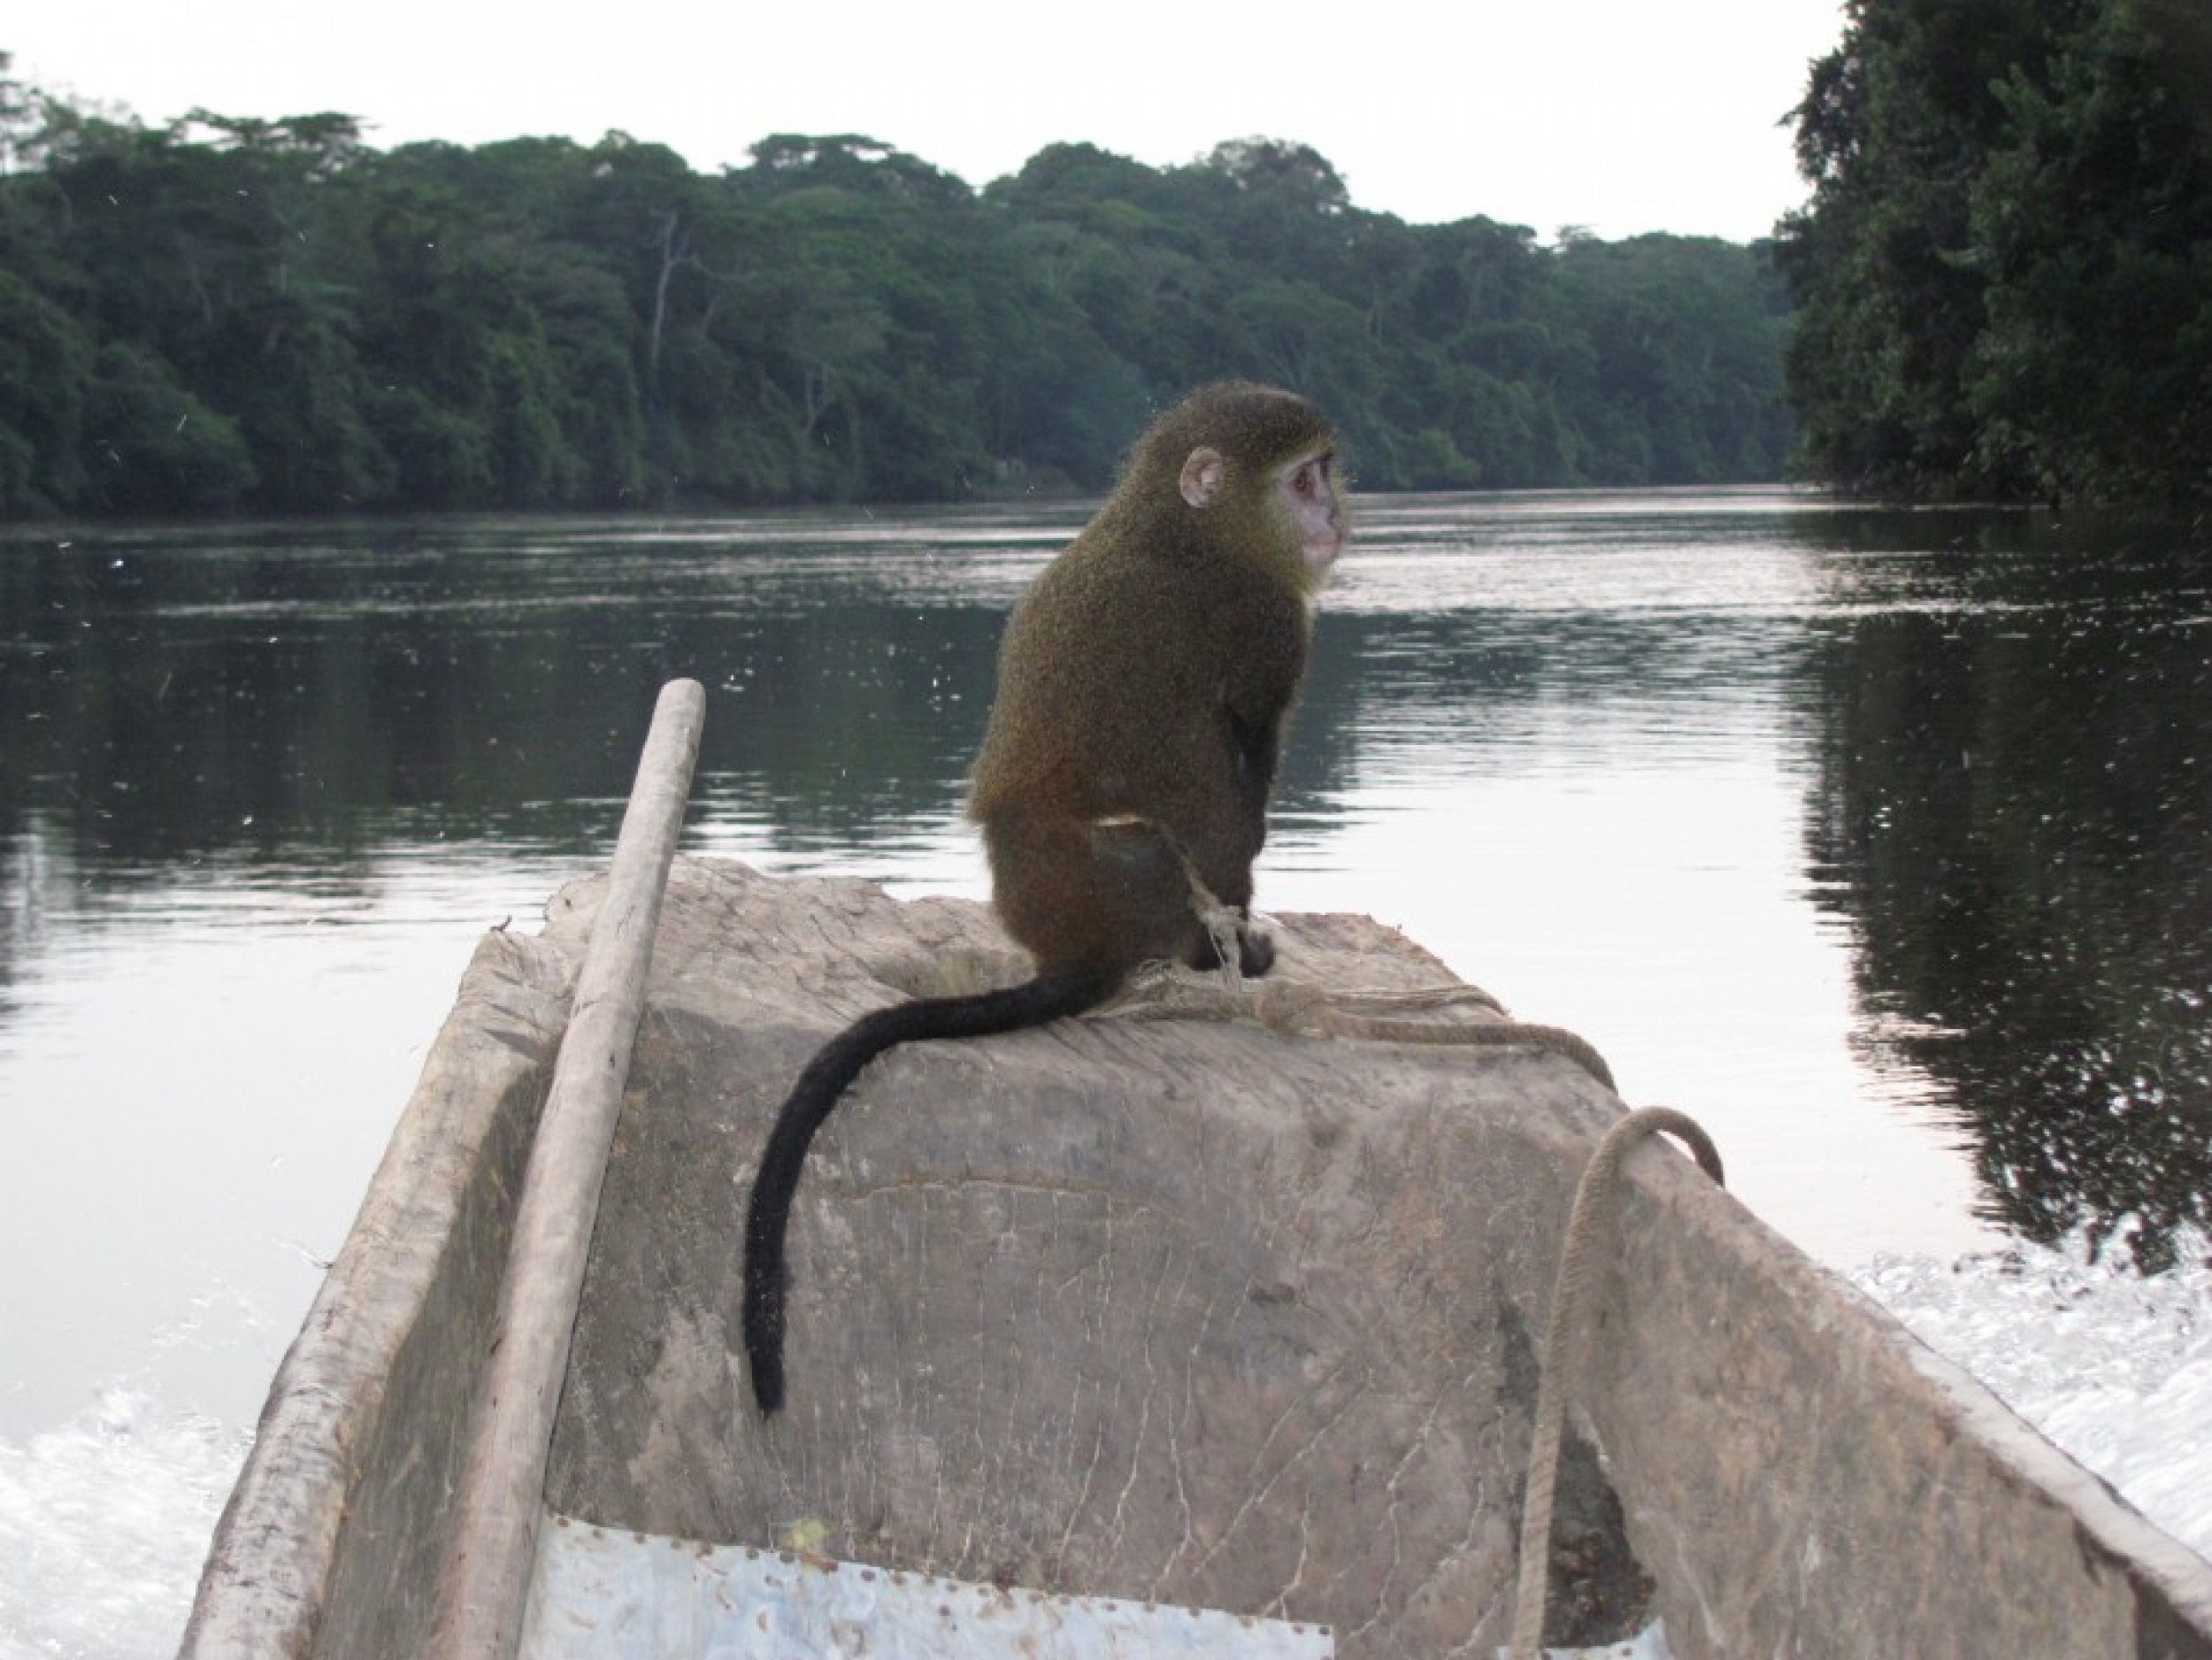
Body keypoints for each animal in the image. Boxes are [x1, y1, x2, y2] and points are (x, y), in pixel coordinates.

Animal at [739, 387, 1345, 1416]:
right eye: (1304, 480)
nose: (1335, 516)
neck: (1183, 529)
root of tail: (1079, 937)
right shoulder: (1264, 623)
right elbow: (1239, 789)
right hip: (1145, 885)